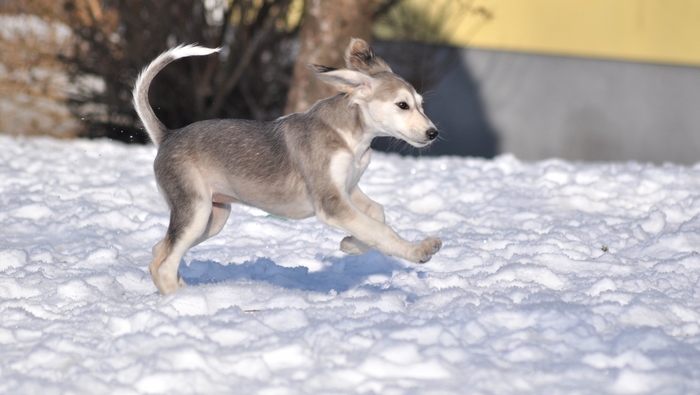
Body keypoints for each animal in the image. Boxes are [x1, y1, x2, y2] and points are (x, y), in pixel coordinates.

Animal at [133, 39, 440, 294]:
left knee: (159, 251)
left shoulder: (348, 189)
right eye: (402, 105)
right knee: (164, 264)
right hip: (196, 212)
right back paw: (181, 302)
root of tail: (167, 136)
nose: (433, 133)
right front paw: (418, 251)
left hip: (213, 217)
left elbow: (377, 214)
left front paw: (351, 244)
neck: (353, 137)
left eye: (421, 104)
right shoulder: (331, 202)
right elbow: (380, 229)